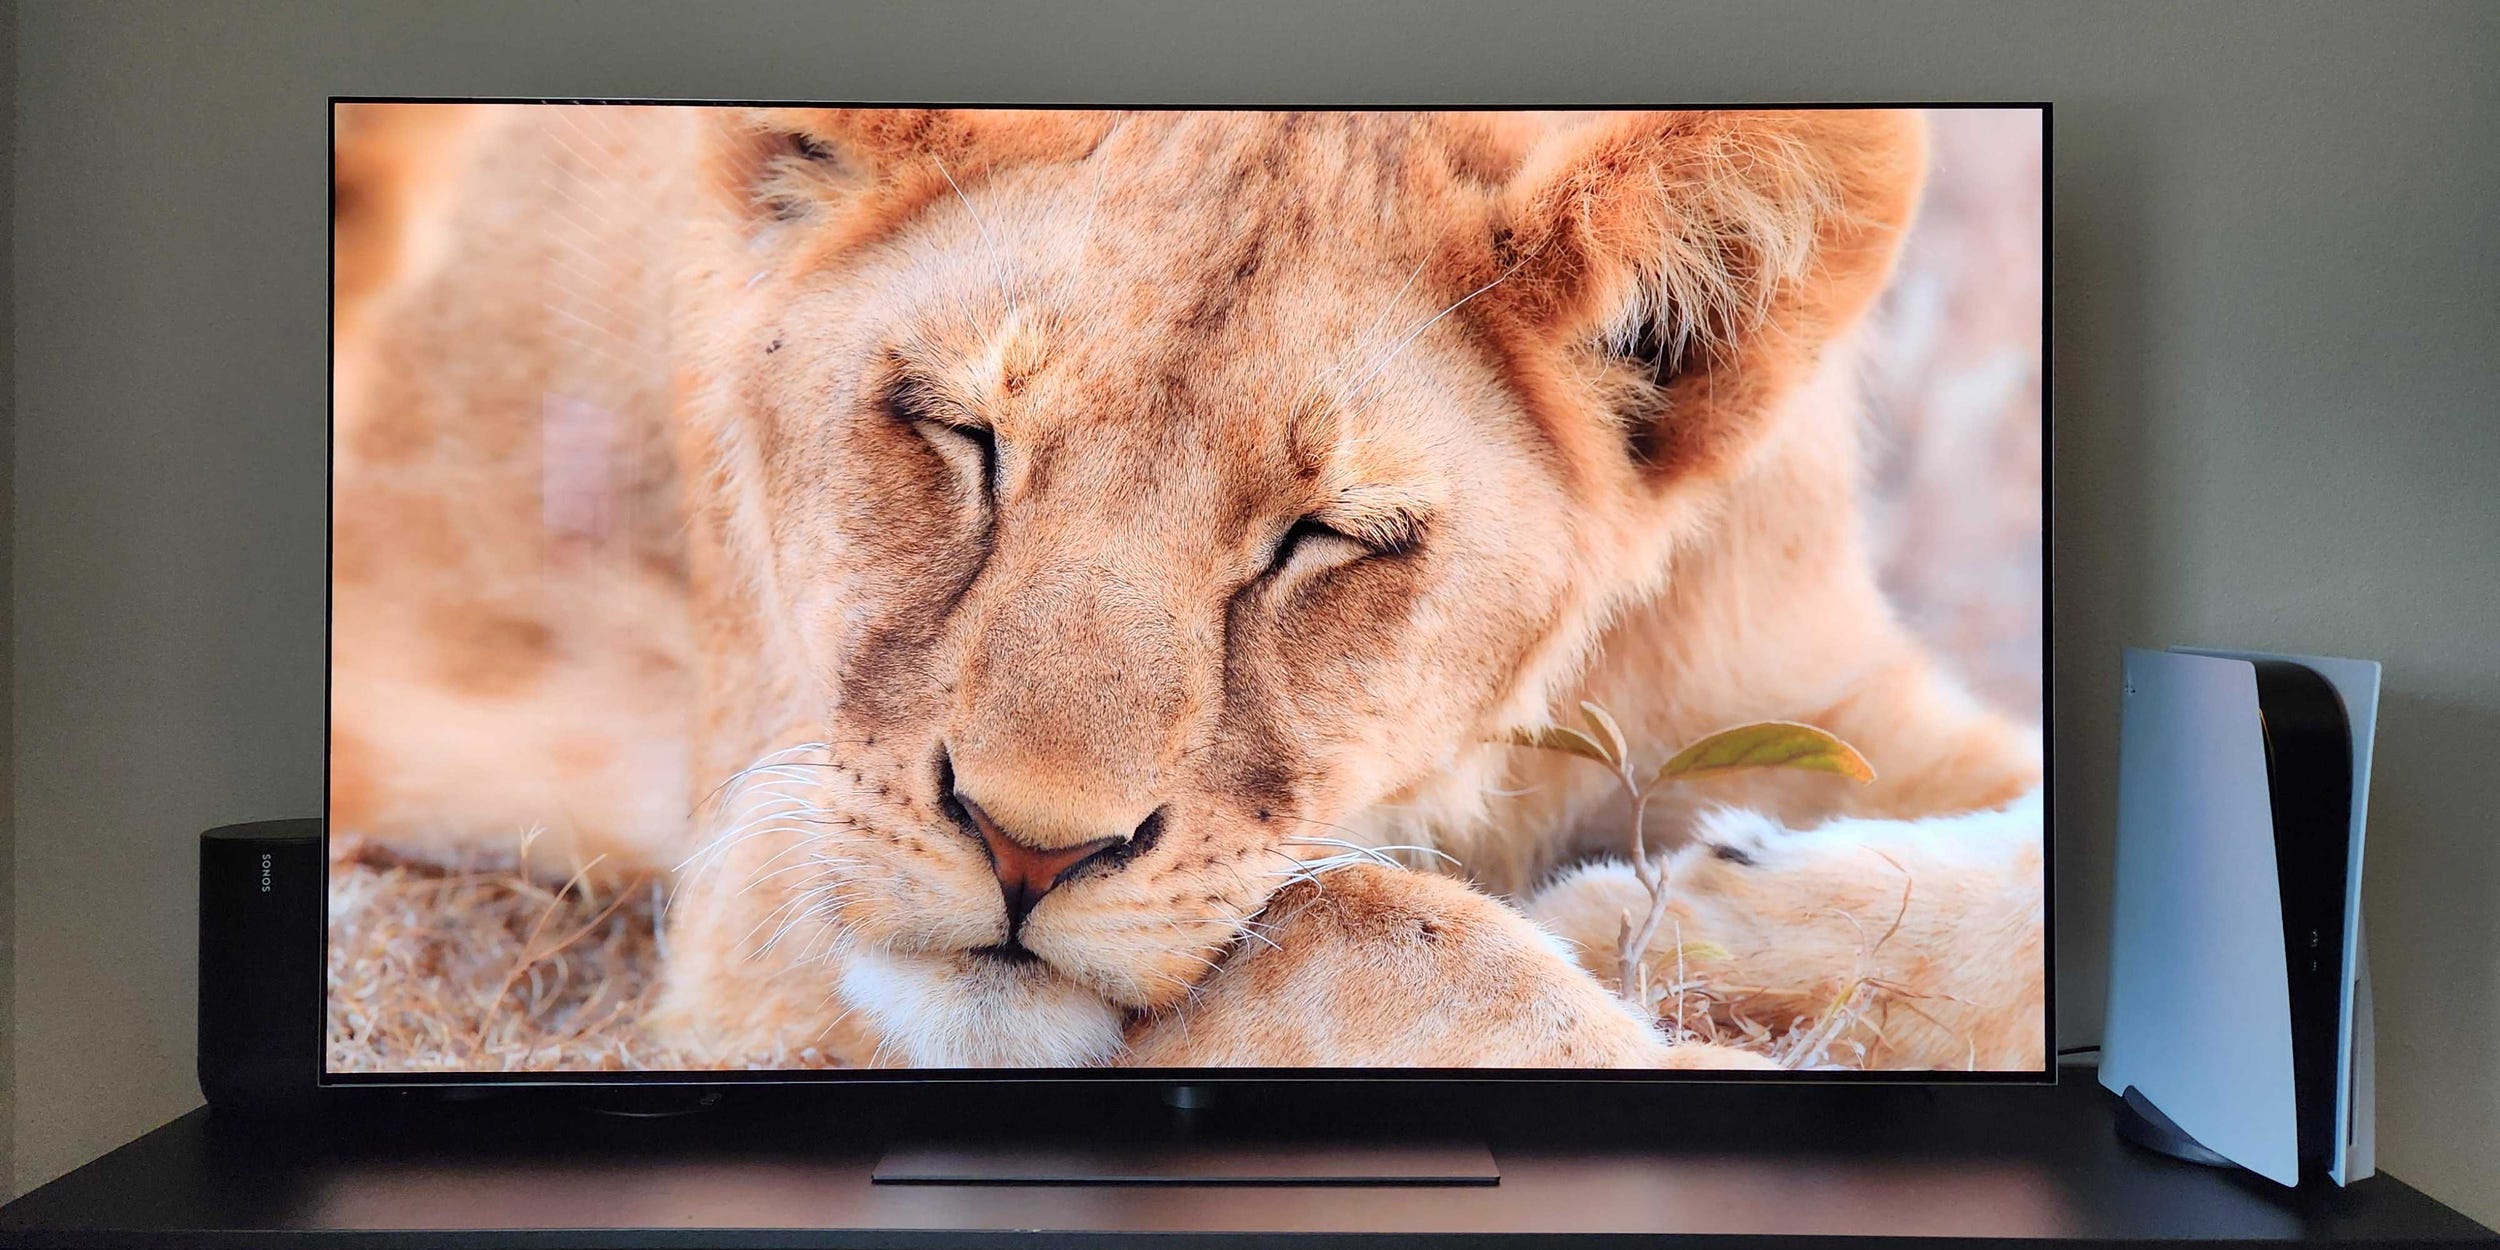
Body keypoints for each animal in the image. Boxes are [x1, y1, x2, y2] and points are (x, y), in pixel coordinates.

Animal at [329, 105, 2044, 1073]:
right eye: (961, 433)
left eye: (1328, 536)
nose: (1025, 851)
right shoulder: (771, 854)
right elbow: (1360, 929)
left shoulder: (1826, 696)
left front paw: (1698, 899)